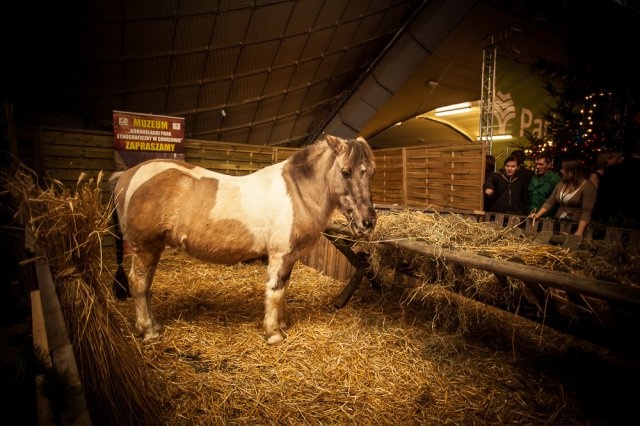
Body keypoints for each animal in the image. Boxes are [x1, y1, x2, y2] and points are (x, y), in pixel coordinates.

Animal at [109, 134, 376, 344]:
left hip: (154, 248)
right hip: (144, 247)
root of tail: (127, 175)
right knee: (138, 284)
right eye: (345, 171)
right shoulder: (280, 255)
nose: (368, 222)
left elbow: (282, 290)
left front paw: (280, 326)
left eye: (371, 172)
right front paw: (273, 334)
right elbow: (275, 291)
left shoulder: (289, 258)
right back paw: (149, 331)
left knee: (145, 285)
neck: (297, 193)